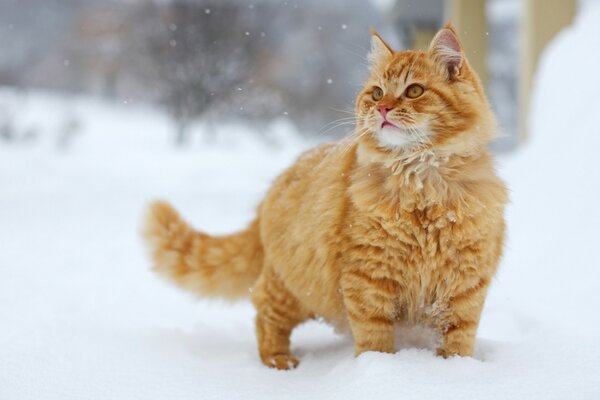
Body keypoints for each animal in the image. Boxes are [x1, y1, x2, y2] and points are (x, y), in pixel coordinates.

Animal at [144, 24, 506, 368]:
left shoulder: (464, 285)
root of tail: (274, 188)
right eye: (376, 93)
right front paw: (382, 370)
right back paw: (277, 359)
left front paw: (455, 370)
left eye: (414, 90)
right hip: (294, 290)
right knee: (264, 311)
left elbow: (458, 339)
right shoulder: (370, 279)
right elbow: (375, 339)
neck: (422, 184)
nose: (383, 108)